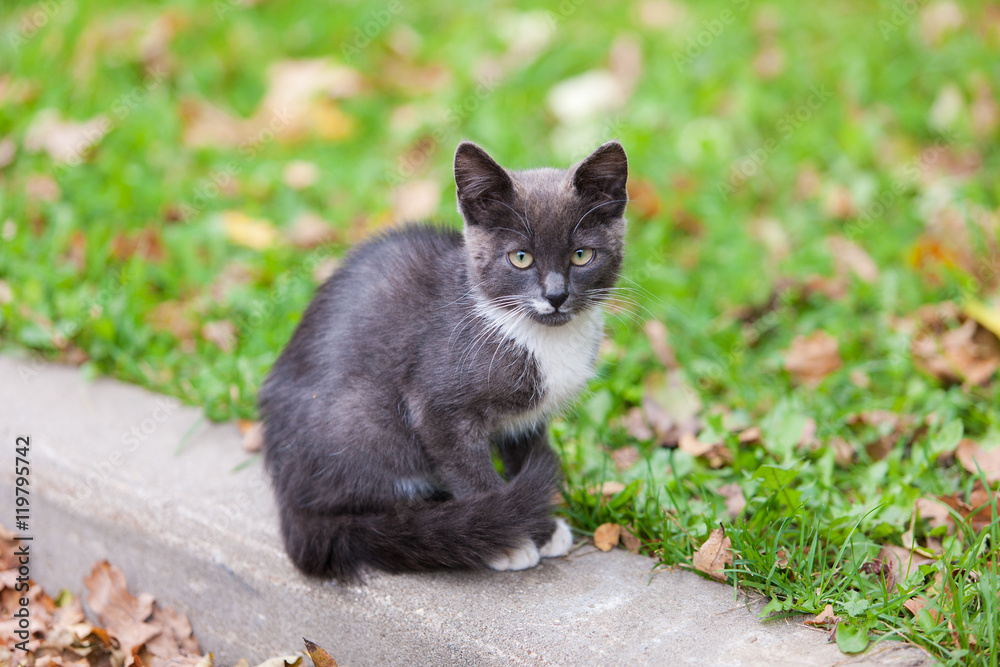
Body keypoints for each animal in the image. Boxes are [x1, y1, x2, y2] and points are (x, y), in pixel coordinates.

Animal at [262, 140, 628, 580]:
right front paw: (509, 540)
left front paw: (540, 530)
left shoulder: (525, 421)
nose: (556, 296)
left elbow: (524, 453)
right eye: (520, 258)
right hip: (361, 421)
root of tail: (286, 498)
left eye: (582, 255)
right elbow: (469, 470)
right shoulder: (437, 405)